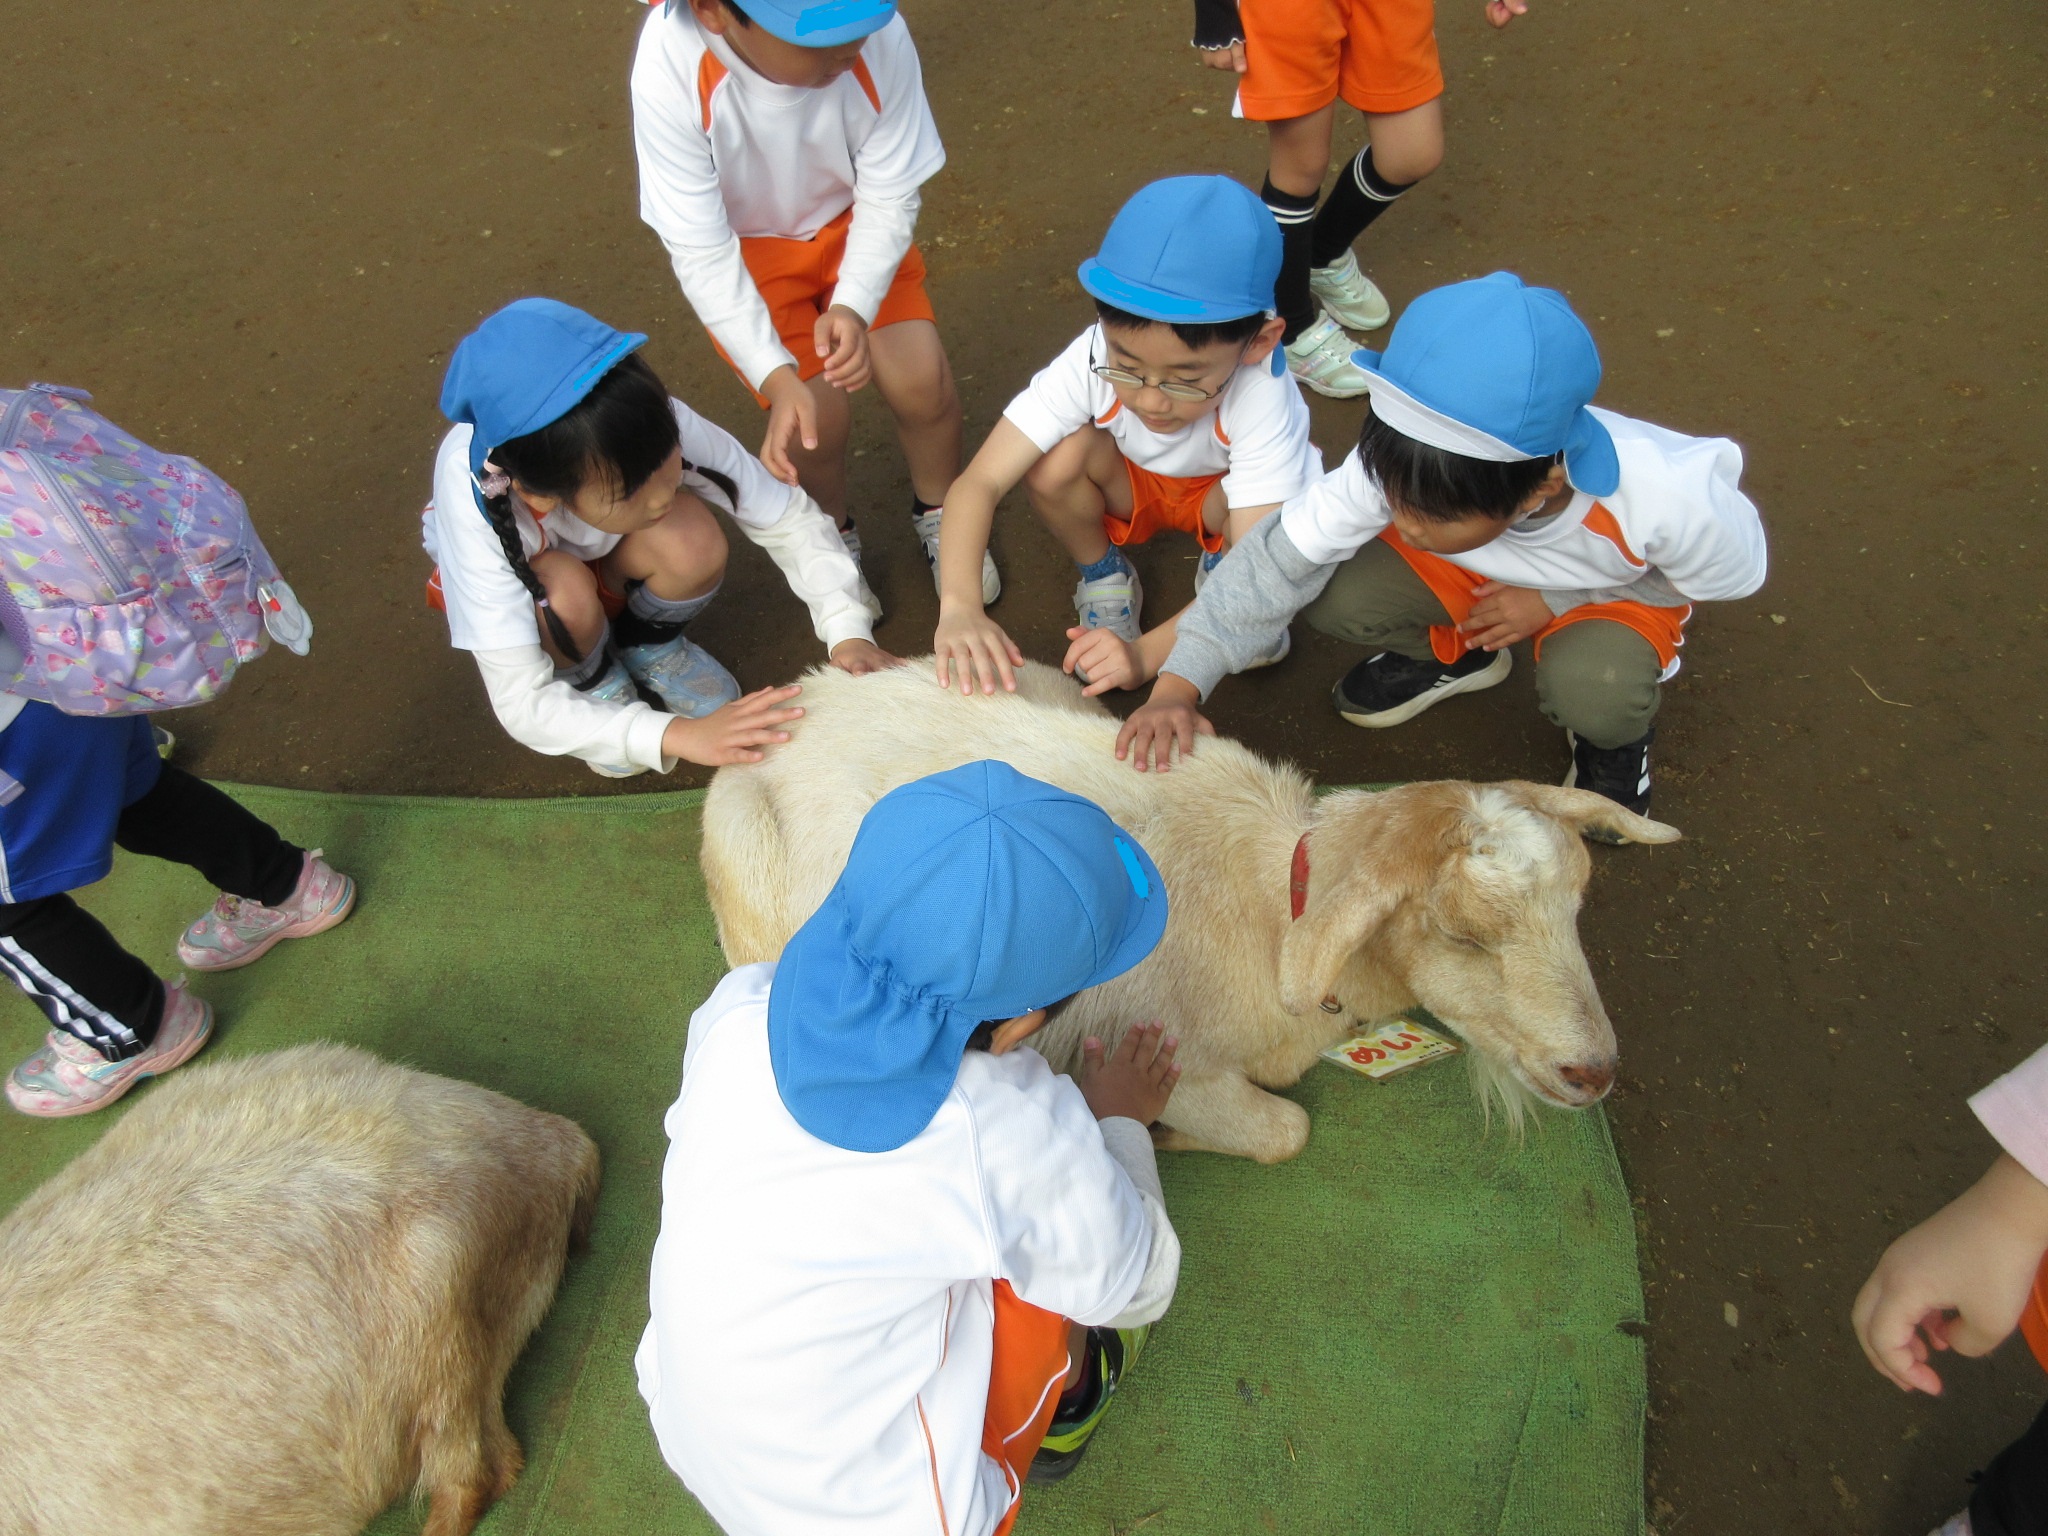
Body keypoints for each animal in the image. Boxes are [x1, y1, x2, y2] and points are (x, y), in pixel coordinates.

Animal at [704, 655, 1679, 1163]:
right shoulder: (1162, 1050)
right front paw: (1164, 1134)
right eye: (1459, 933)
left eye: (1578, 906)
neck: (1270, 907)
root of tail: (799, 700)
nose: (1596, 1073)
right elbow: (1285, 1130)